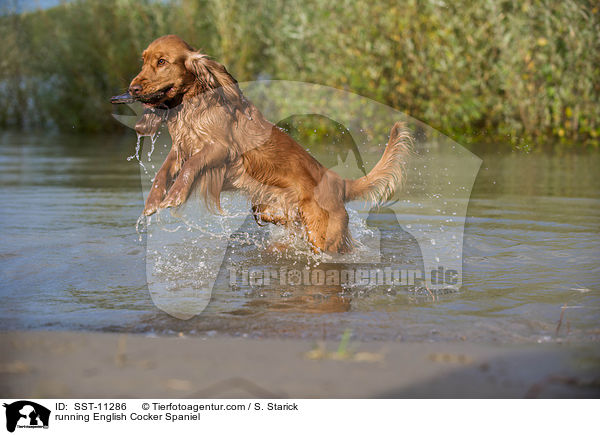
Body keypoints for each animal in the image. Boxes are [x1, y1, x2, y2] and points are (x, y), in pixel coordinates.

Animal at [122, 35, 412, 254]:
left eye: (162, 62)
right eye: (143, 61)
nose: (132, 89)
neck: (195, 105)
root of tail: (339, 183)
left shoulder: (220, 149)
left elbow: (192, 166)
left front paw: (174, 196)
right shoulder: (179, 148)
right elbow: (164, 171)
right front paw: (153, 201)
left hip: (323, 237)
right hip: (271, 210)